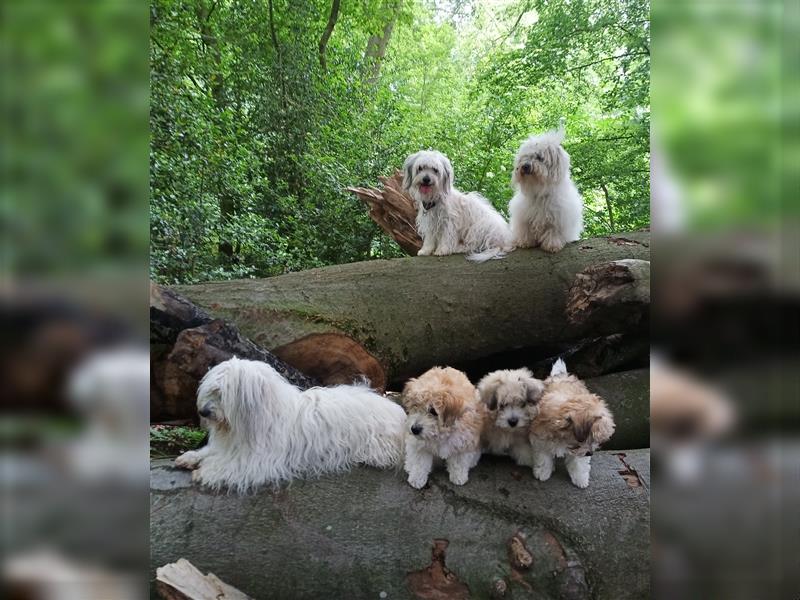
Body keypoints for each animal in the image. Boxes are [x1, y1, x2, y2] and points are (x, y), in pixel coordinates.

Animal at [175, 356, 406, 492]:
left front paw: (205, 471)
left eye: (221, 393)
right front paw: (191, 457)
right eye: (210, 390)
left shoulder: (259, 459)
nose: (203, 411)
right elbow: (212, 451)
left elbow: (234, 465)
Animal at [528, 360, 616, 488]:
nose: (590, 453)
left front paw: (580, 479)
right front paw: (543, 472)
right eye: (590, 438)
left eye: (595, 440)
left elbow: (578, 463)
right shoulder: (540, 439)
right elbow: (543, 457)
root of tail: (562, 375)